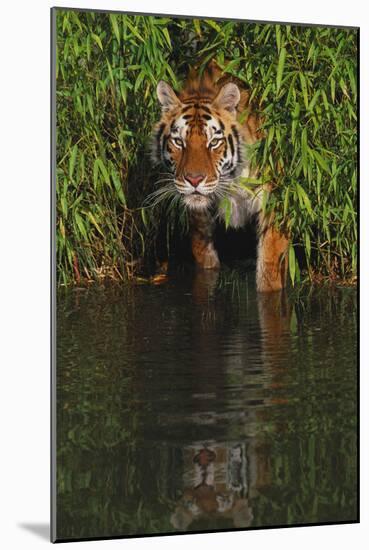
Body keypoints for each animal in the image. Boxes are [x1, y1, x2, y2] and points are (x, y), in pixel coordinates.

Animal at [150, 60, 288, 294]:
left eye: (213, 142)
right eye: (178, 141)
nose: (194, 180)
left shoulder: (273, 200)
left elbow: (269, 267)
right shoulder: (199, 214)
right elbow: (203, 254)